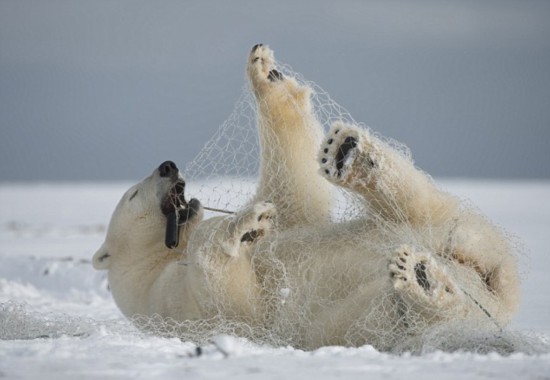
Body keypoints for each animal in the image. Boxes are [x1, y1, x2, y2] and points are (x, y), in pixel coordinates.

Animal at [95, 43, 520, 350]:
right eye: (133, 195)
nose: (167, 166)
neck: (159, 258)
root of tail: (494, 300)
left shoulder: (290, 218)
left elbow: (293, 193)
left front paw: (265, 72)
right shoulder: (173, 302)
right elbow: (234, 295)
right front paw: (244, 225)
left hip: (455, 234)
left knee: (421, 208)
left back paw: (350, 156)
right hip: (344, 320)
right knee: (382, 315)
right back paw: (421, 282)